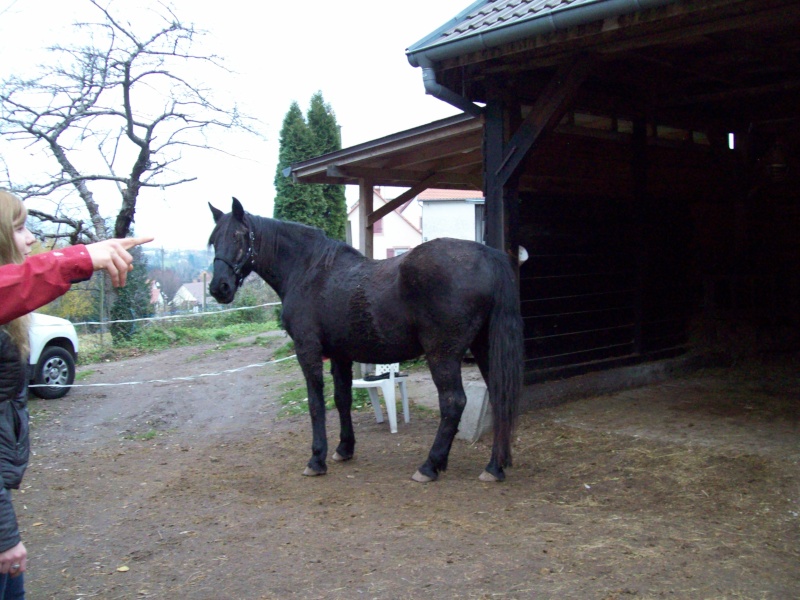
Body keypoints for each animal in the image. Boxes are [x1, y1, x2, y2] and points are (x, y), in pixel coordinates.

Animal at [206, 198, 524, 482]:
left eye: (237, 236)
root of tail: (488, 256)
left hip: (442, 354)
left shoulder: (308, 350)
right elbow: (342, 398)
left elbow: (316, 403)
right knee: (498, 396)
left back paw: (429, 466)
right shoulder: (340, 354)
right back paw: (494, 467)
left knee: (453, 402)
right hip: (484, 348)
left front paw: (317, 459)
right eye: (213, 240)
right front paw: (344, 448)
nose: (219, 288)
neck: (308, 270)